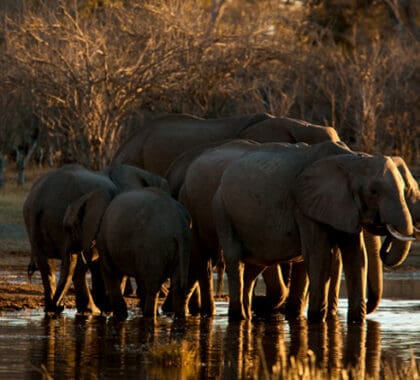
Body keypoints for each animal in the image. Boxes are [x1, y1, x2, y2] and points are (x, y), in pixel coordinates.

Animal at [23, 163, 169, 314]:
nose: (61, 306)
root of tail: (39, 200)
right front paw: (108, 307)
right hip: (57, 217)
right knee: (76, 265)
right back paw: (89, 309)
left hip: (34, 221)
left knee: (47, 266)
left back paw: (54, 309)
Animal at [62, 189, 192, 320]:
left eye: (68, 228)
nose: (61, 306)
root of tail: (180, 227)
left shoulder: (104, 239)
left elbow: (110, 272)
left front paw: (118, 316)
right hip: (179, 249)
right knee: (178, 286)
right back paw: (179, 318)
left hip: (154, 246)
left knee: (152, 287)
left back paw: (149, 316)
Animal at [212, 144, 416, 322]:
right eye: (373, 192)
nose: (386, 232)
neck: (352, 159)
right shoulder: (304, 208)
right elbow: (320, 257)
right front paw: (317, 319)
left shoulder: (343, 207)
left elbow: (356, 258)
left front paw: (357, 321)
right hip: (222, 209)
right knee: (234, 258)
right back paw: (239, 317)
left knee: (254, 266)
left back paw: (246, 315)